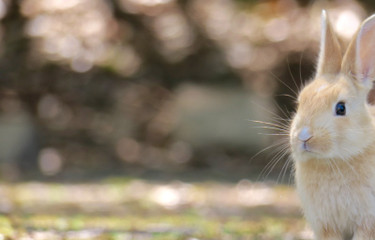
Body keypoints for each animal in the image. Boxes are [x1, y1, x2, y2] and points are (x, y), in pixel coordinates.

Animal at [290, 9, 375, 240]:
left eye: (341, 108)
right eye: (300, 102)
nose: (303, 136)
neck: (334, 160)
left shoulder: (367, 223)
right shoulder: (327, 227)